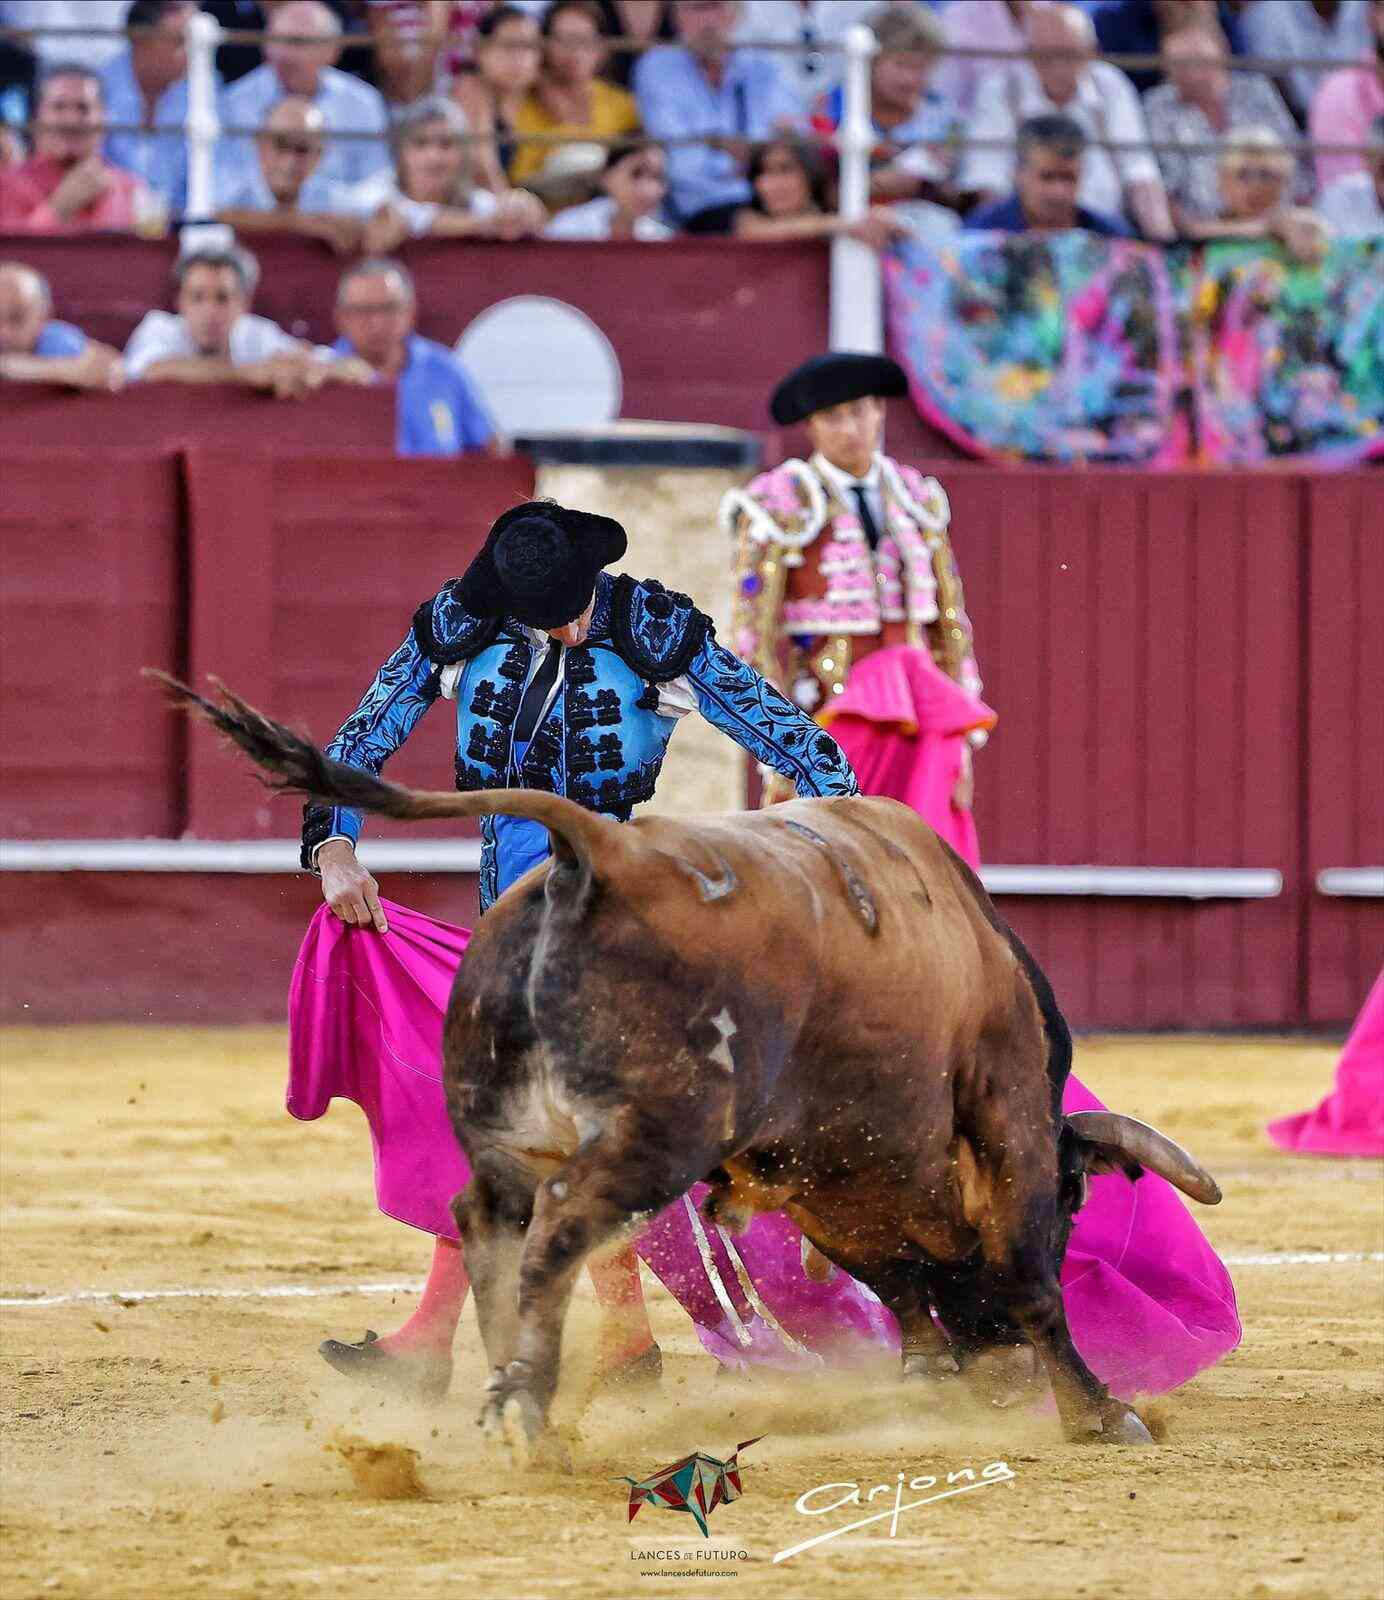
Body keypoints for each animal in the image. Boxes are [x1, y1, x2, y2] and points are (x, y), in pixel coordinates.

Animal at [157, 674, 1223, 1453]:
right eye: (1080, 1198)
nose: (993, 1367)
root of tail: (596, 853)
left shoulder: (818, 1178)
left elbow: (897, 1288)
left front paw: (928, 1386)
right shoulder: (1001, 1115)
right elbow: (1026, 1275)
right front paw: (1104, 1414)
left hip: (516, 1128)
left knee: (487, 1220)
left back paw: (514, 1393)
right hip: (658, 1133)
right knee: (558, 1231)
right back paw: (530, 1416)